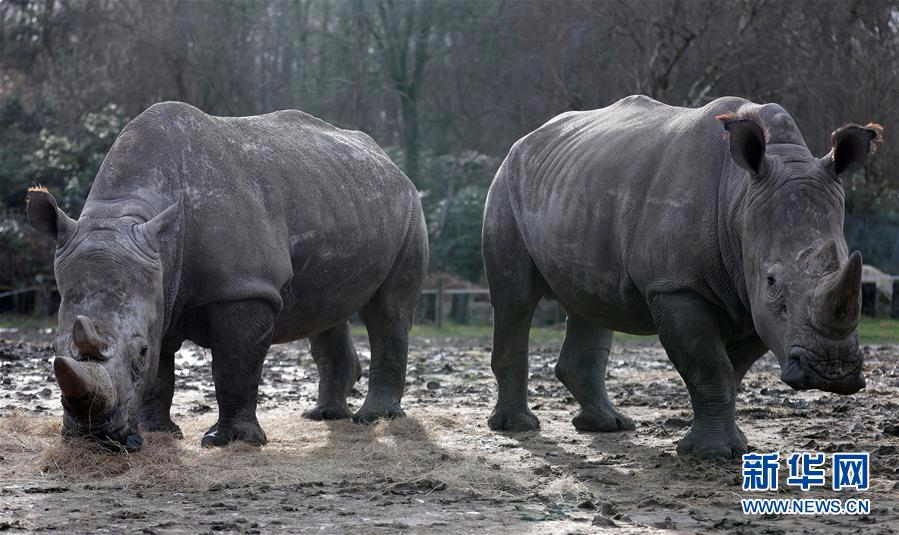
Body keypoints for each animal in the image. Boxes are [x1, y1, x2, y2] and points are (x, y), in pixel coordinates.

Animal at [24, 101, 426, 452]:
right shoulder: (160, 286)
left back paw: (375, 418)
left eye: (139, 353)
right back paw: (324, 416)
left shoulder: (244, 287)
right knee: (327, 309)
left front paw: (231, 441)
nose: (94, 438)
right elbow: (161, 371)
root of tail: (390, 163)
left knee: (388, 310)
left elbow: (234, 365)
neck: (129, 214)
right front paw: (158, 432)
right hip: (337, 194)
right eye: (53, 350)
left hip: (408, 205)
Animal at [482, 95, 884, 456]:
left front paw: (736, 446)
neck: (740, 200)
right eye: (773, 282)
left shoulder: (750, 296)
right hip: (506, 184)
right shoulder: (677, 287)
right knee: (515, 300)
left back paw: (609, 425)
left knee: (590, 301)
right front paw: (712, 453)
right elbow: (710, 368)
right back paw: (518, 426)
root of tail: (526, 139)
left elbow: (732, 370)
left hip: (579, 190)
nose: (832, 371)